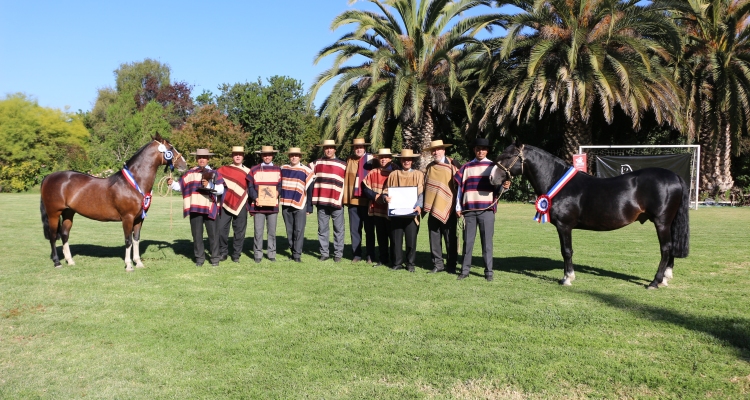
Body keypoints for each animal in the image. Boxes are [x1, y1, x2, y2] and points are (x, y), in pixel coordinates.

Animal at [40, 135, 188, 272]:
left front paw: (138, 262)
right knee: (53, 236)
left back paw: (70, 261)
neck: (133, 183)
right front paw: (129, 265)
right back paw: (57, 262)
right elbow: (128, 240)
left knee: (65, 234)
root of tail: (48, 177)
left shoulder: (139, 219)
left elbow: (136, 239)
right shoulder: (127, 218)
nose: (184, 164)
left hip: (68, 213)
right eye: (170, 148)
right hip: (54, 214)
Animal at [490, 143, 692, 288]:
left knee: (665, 248)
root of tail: (674, 176)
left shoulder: (564, 226)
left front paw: (567, 278)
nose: (492, 178)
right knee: (671, 247)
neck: (558, 182)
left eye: (508, 157)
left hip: (662, 222)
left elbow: (566, 251)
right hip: (669, 223)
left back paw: (655, 282)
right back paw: (665, 278)